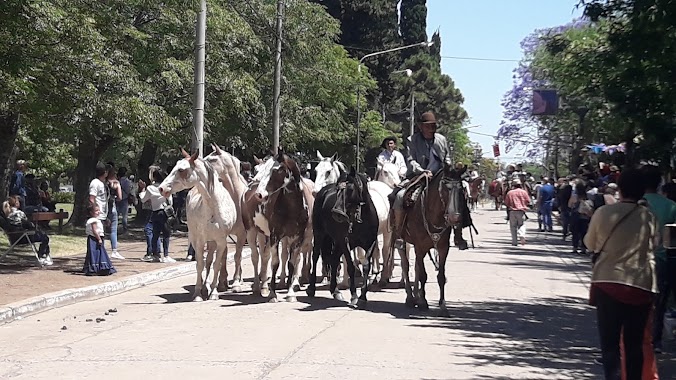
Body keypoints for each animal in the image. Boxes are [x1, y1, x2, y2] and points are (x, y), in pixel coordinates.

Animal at [160, 150, 236, 302]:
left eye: (181, 169)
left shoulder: (221, 241)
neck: (213, 208)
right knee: (202, 263)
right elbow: (200, 264)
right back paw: (203, 288)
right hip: (195, 239)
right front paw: (198, 294)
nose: (161, 188)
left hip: (212, 242)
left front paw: (214, 292)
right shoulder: (200, 241)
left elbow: (216, 264)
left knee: (209, 261)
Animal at [308, 168, 380, 308]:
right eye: (338, 189)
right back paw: (312, 288)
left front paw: (363, 297)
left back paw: (335, 291)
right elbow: (351, 266)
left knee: (334, 259)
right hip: (320, 235)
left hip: (336, 242)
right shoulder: (345, 241)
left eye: (350, 189)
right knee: (315, 257)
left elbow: (366, 266)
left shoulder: (371, 242)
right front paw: (354, 296)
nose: (336, 213)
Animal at [396, 165, 470, 316]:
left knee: (416, 267)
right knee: (405, 265)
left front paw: (443, 306)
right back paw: (410, 298)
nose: (454, 218)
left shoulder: (443, 248)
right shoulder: (419, 247)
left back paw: (416, 295)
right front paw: (423, 302)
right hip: (402, 242)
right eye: (445, 188)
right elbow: (423, 275)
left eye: (461, 189)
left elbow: (440, 276)